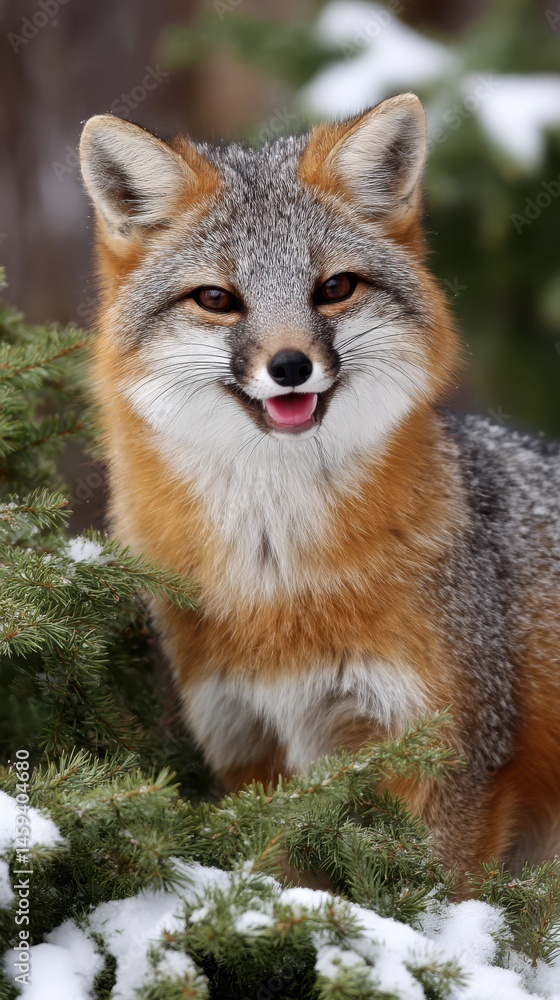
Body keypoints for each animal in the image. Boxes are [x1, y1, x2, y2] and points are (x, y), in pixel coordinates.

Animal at [79, 93, 560, 876]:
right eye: (216, 298)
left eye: (334, 288)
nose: (290, 366)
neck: (276, 582)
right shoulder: (256, 757)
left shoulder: (446, 755)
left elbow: (434, 899)